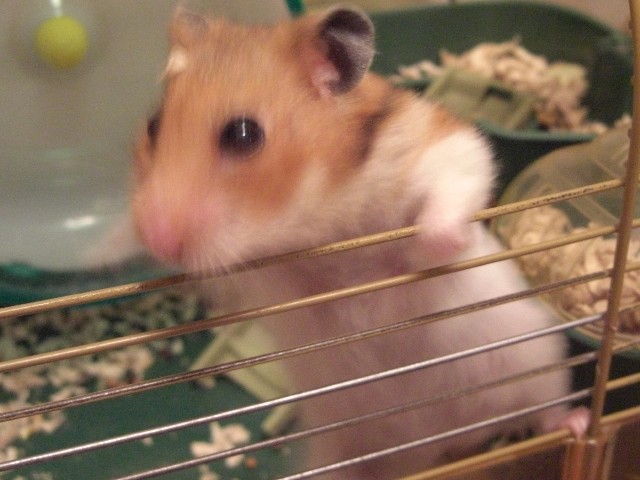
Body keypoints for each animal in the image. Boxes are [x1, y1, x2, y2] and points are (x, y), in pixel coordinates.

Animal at [127, 7, 588, 479]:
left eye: (243, 134)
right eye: (154, 126)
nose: (155, 238)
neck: (319, 214)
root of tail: (441, 445)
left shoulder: (441, 147)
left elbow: (446, 200)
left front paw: (443, 245)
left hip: (538, 364)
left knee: (549, 408)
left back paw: (578, 423)